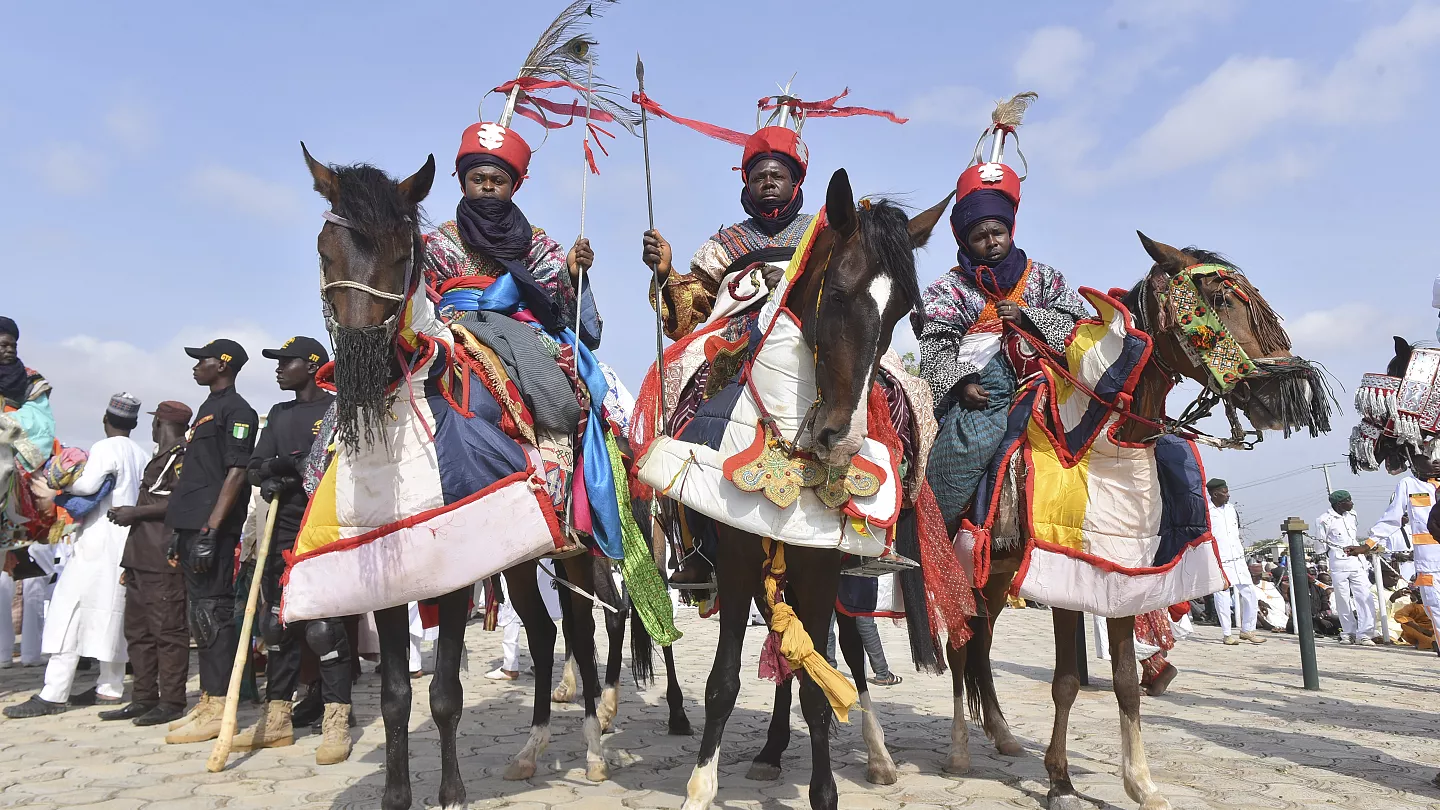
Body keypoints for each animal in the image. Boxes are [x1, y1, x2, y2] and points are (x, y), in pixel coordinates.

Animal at [648, 165, 950, 807]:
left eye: (901, 314)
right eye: (836, 294)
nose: (842, 438)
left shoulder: (820, 565)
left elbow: (821, 686)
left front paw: (824, 790)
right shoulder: (738, 560)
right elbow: (725, 681)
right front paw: (700, 788)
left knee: (851, 655)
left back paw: (877, 755)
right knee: (788, 650)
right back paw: (769, 752)